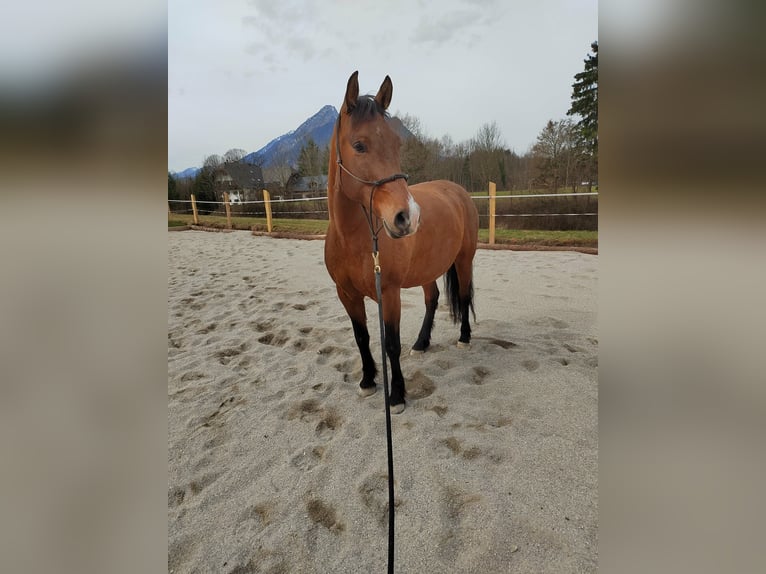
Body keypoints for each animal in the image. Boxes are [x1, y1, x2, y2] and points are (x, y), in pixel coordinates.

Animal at [324, 71, 479, 414]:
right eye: (359, 145)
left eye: (397, 144)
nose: (407, 217)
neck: (353, 240)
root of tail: (457, 190)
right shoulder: (346, 295)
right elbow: (362, 338)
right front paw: (368, 381)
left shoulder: (390, 293)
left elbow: (391, 344)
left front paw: (396, 395)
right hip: (427, 268)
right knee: (432, 298)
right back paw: (421, 343)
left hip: (464, 260)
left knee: (463, 294)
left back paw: (464, 338)